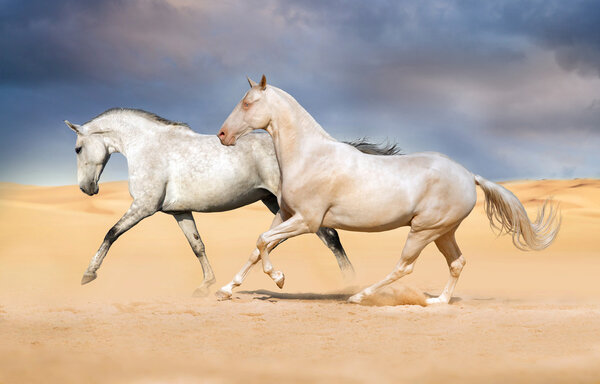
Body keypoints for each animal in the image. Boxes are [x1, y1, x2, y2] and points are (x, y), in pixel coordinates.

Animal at [217, 75, 564, 304]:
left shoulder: (307, 221)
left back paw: (360, 296)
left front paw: (279, 279)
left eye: (248, 103)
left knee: (404, 267)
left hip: (423, 231)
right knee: (456, 263)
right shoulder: (286, 215)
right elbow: (257, 246)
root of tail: (469, 175)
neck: (309, 155)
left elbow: (262, 242)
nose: (222, 135)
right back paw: (437, 302)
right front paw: (225, 290)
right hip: (444, 232)